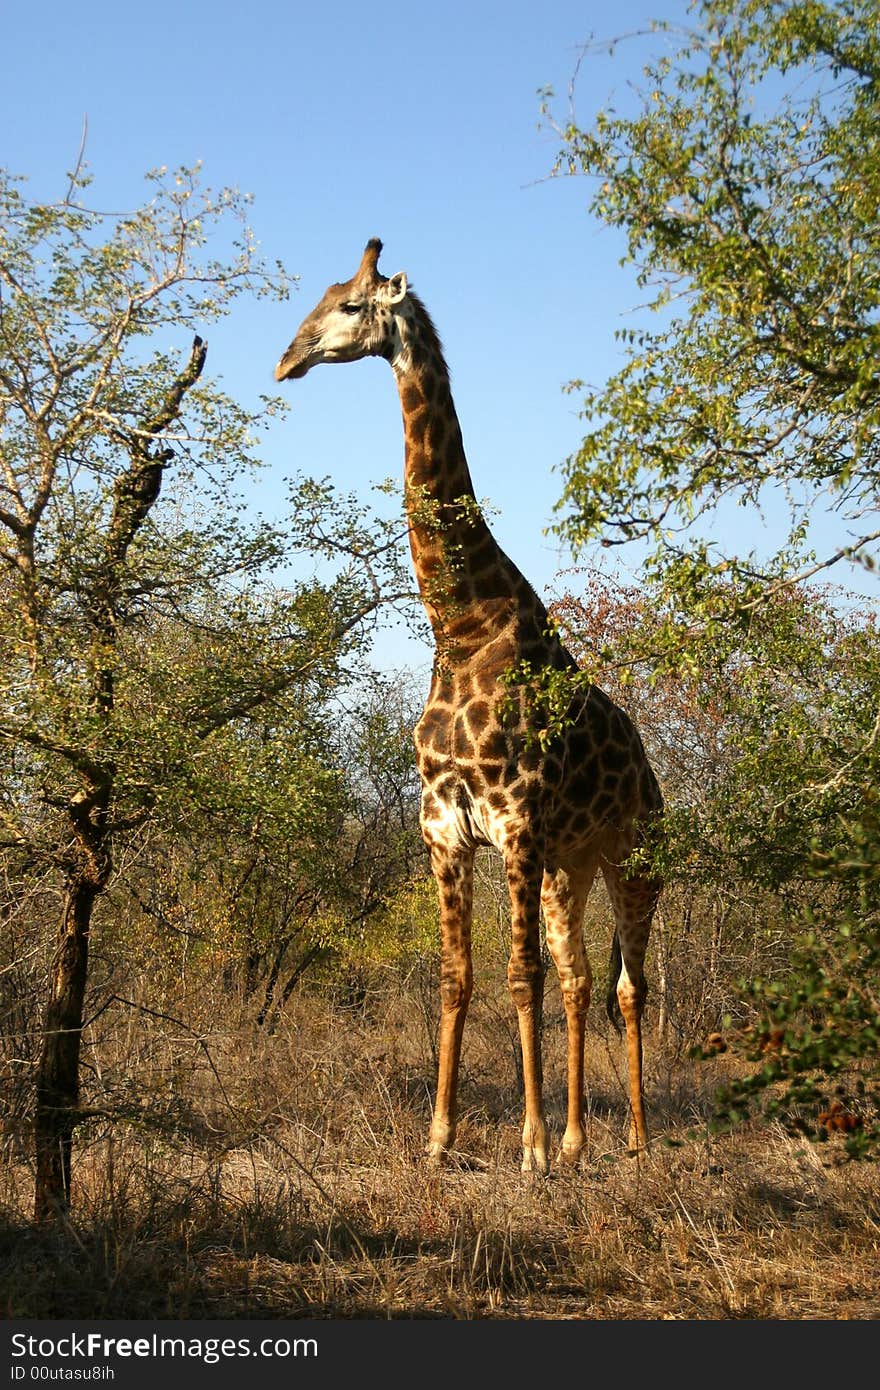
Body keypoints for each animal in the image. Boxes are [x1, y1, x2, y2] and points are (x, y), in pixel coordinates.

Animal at [275, 239, 658, 1173]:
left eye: (350, 306)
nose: (287, 360)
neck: (460, 625)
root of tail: (654, 774)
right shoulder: (446, 828)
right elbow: (460, 976)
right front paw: (444, 1137)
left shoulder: (513, 823)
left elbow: (516, 976)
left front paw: (525, 1146)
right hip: (569, 867)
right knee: (581, 978)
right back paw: (581, 1138)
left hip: (634, 860)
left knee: (629, 986)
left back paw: (631, 1138)